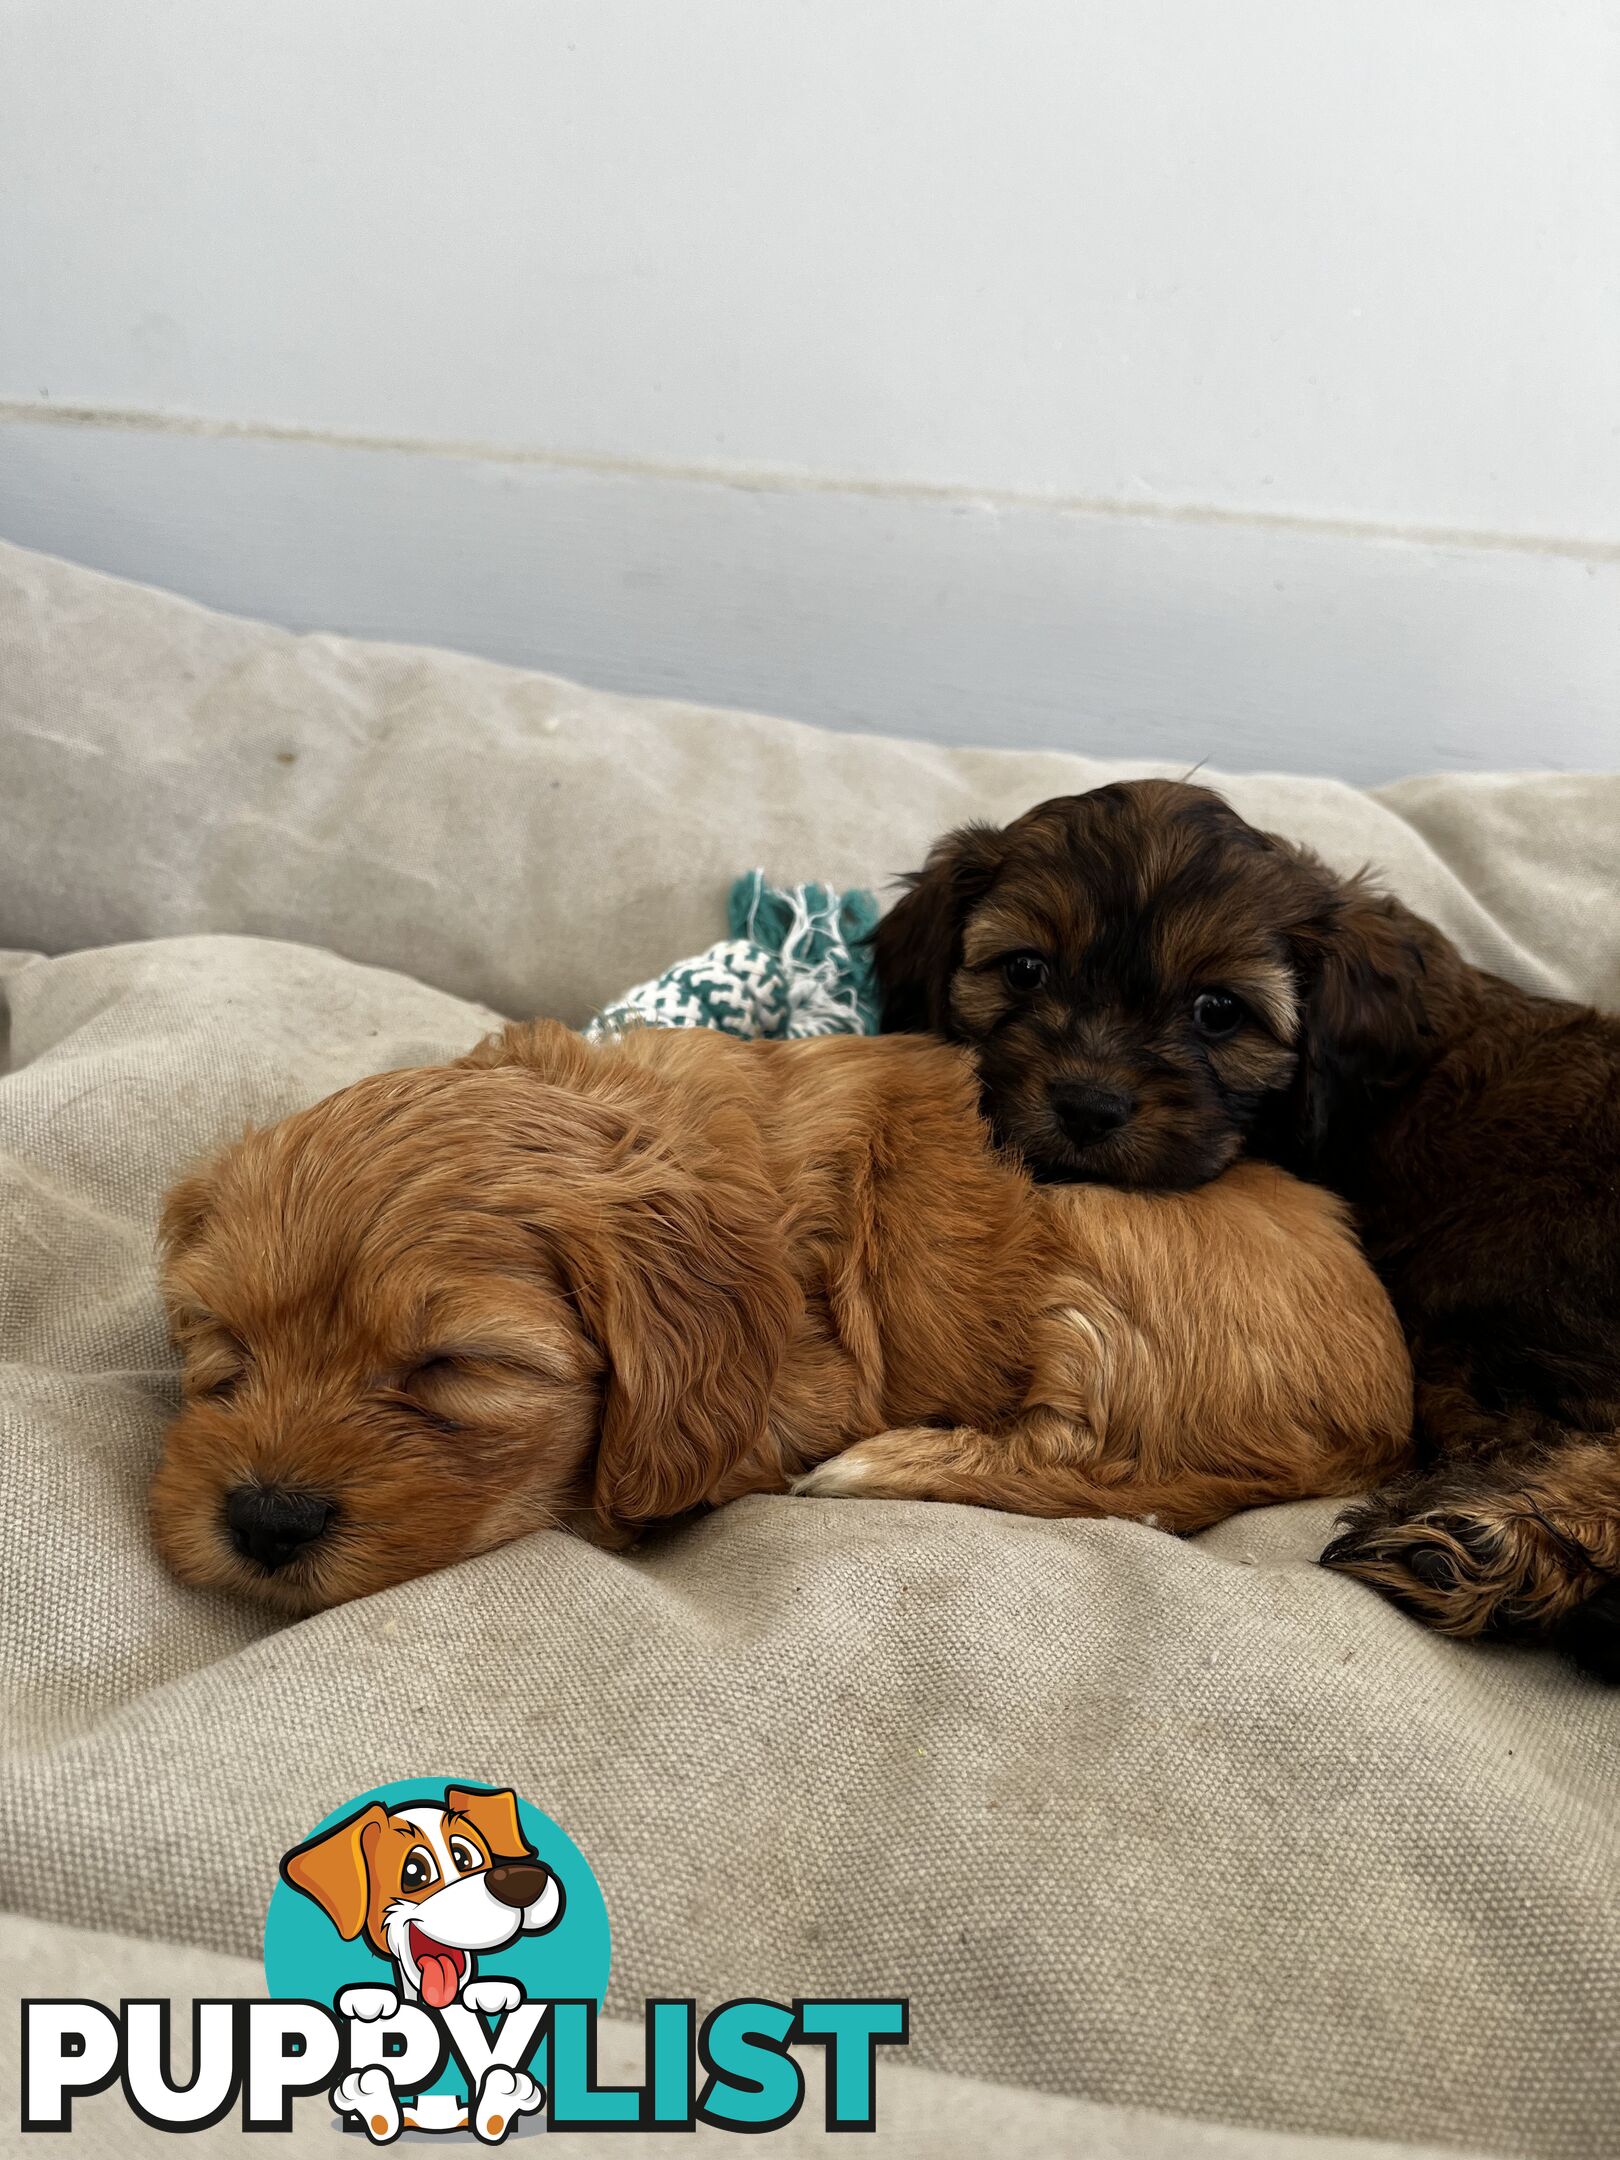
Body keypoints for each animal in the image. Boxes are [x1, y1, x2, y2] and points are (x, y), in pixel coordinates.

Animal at [152, 1019, 1416, 1615]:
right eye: (226, 1351)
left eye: (453, 1368)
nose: (263, 1522)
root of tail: (1386, 1414)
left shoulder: (803, 1389)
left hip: (1070, 1245)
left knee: (1100, 1467)